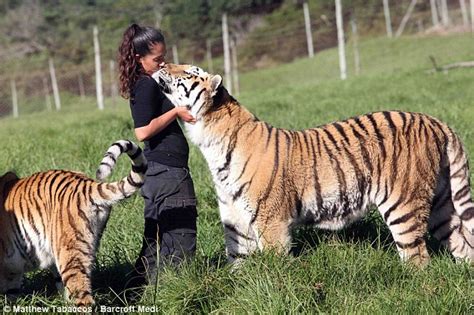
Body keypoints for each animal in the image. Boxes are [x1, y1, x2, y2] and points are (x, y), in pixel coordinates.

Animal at [153, 64, 474, 270]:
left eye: (189, 72)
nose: (163, 63)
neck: (211, 144)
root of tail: (437, 122)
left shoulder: (271, 223)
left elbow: (275, 268)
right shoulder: (236, 225)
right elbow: (238, 268)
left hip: (403, 204)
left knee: (417, 259)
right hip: (441, 204)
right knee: (461, 241)